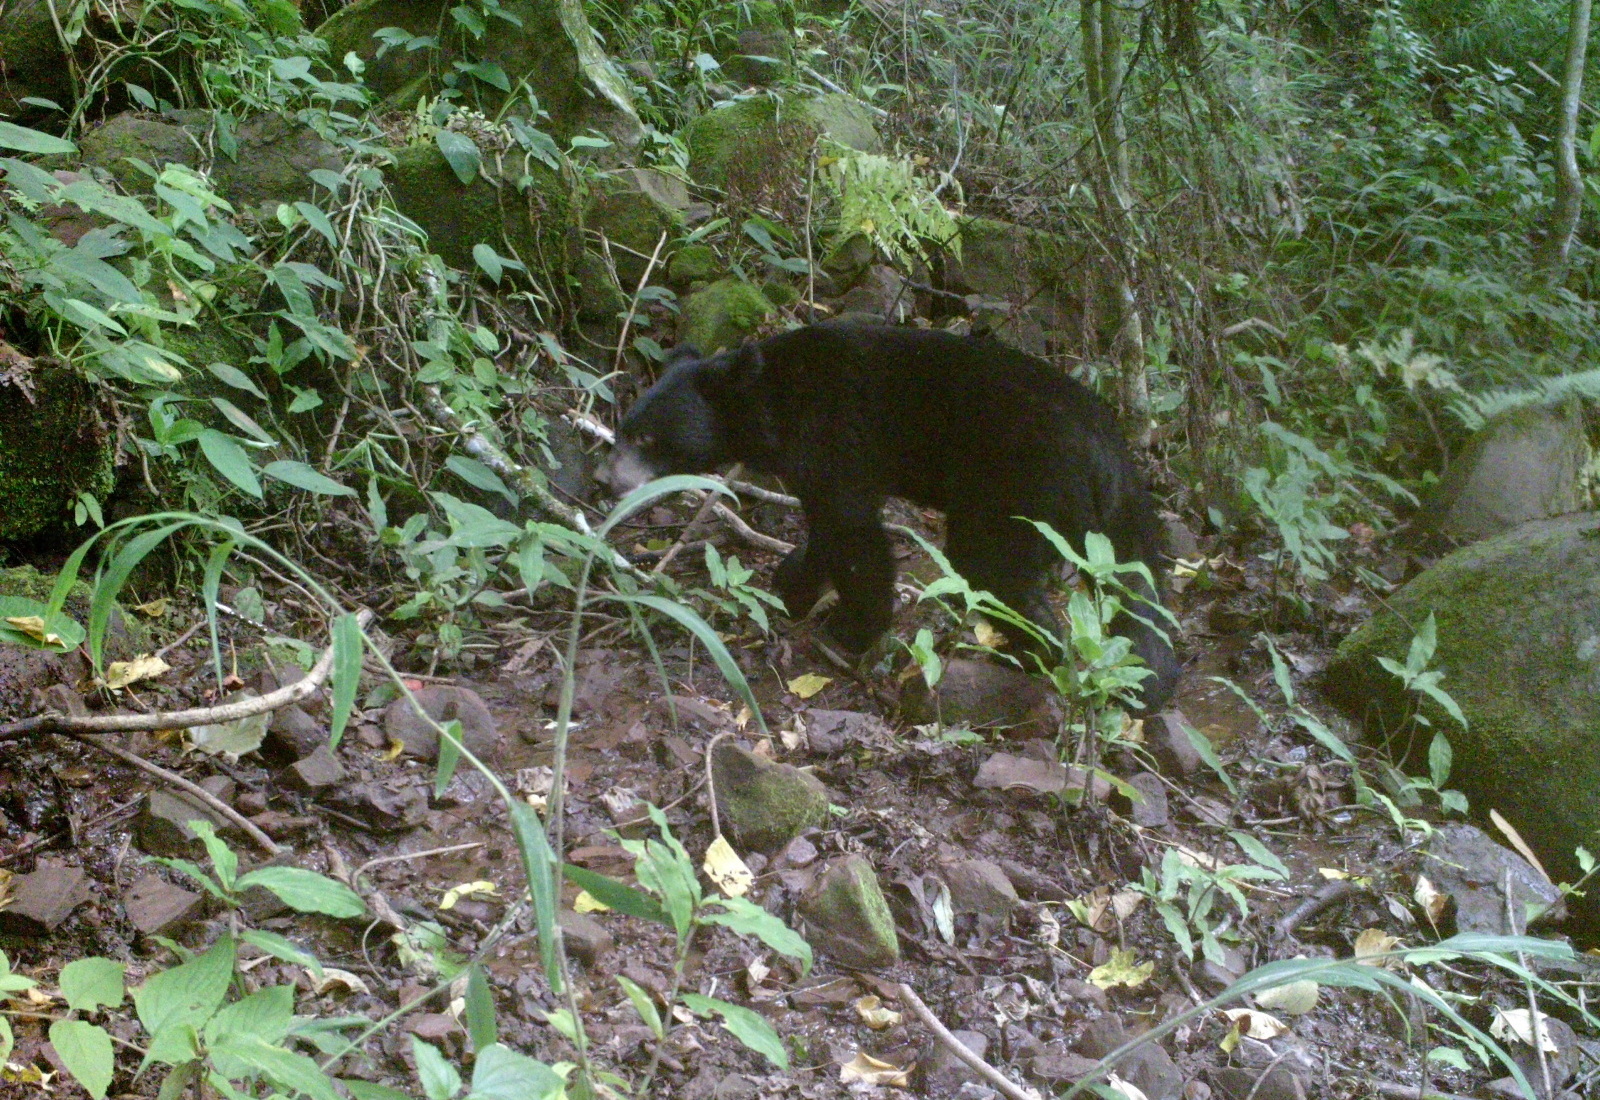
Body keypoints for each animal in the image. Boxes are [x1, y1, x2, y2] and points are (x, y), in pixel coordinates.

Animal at [597, 322, 1180, 708]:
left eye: (647, 439)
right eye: (624, 427)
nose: (606, 480)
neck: (774, 403)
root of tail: (1112, 451)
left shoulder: (836, 433)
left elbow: (853, 532)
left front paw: (847, 629)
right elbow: (826, 530)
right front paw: (793, 586)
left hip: (1025, 485)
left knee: (989, 567)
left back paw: (1037, 653)